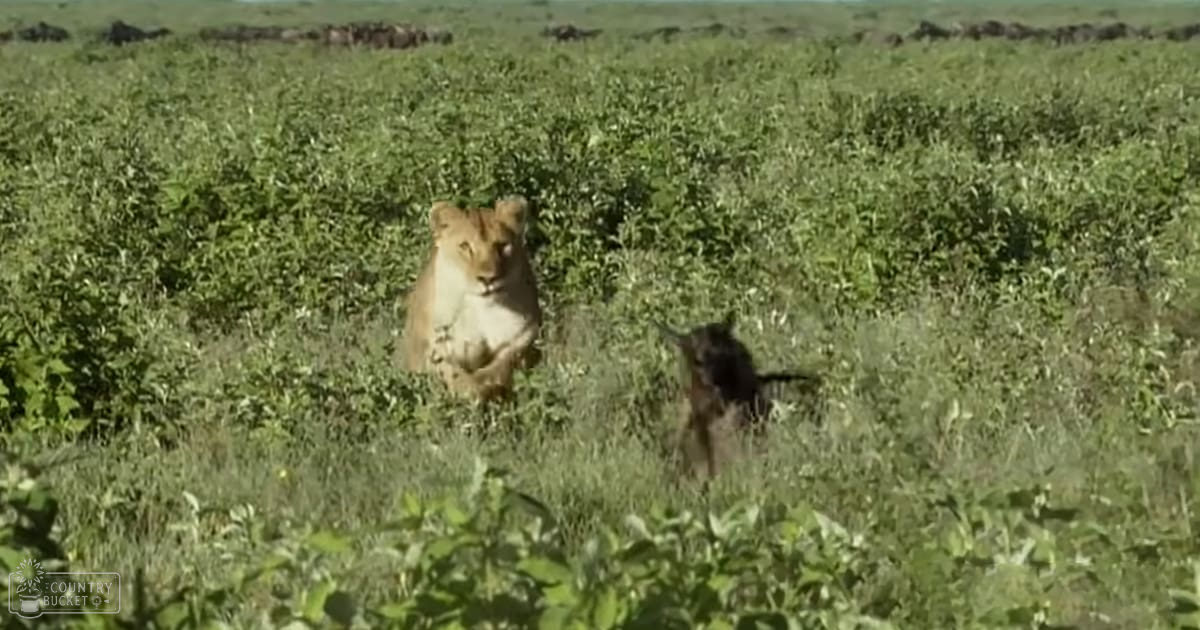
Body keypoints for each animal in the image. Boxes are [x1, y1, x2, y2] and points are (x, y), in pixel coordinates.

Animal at [402, 196, 543, 402]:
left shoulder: (523, 337)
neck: (481, 309)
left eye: (502, 246)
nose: (488, 279)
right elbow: (455, 375)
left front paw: (488, 385)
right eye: (465, 246)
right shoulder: (438, 350)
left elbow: (504, 364)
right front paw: (474, 392)